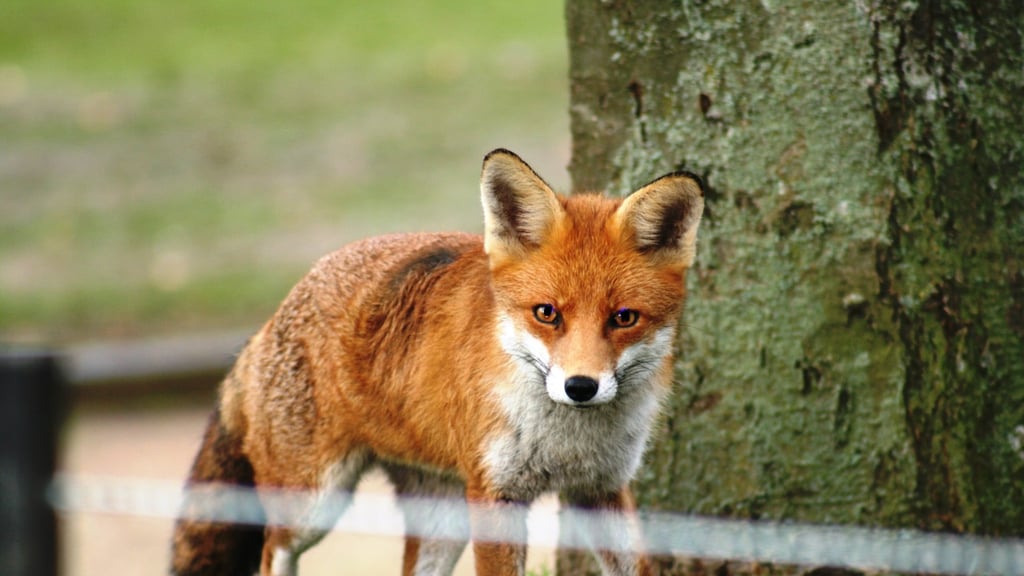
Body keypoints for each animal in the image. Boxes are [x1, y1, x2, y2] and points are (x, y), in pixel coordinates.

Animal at [170, 148, 704, 576]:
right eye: (546, 313)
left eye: (623, 318)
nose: (580, 386)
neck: (567, 443)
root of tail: (269, 319)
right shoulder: (494, 495)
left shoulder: (602, 489)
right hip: (312, 501)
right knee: (272, 548)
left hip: (439, 521)